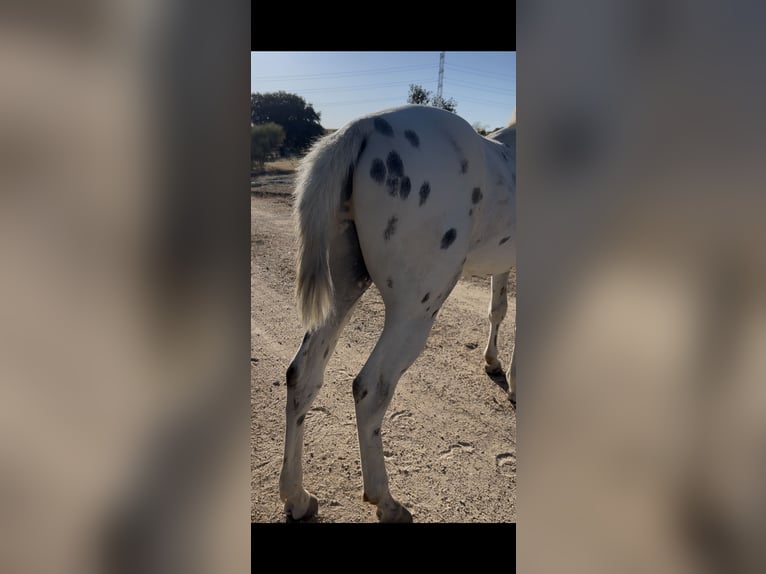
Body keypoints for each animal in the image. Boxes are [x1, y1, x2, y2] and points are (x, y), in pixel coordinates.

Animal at [279, 104, 516, 522]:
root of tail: (361, 128)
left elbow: (498, 309)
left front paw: (492, 362)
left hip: (343, 287)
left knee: (302, 375)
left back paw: (298, 497)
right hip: (413, 311)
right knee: (371, 388)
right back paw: (386, 502)